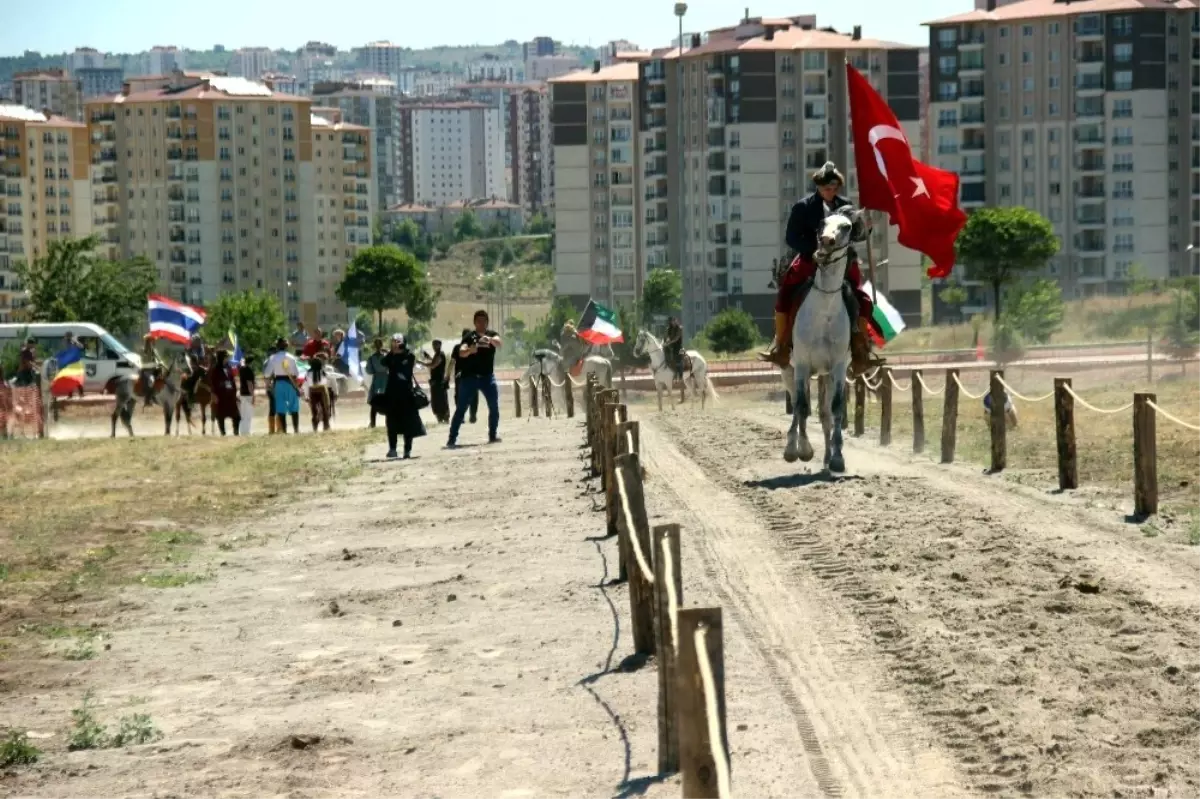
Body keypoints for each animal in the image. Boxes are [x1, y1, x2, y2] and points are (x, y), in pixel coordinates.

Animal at [782, 205, 868, 472]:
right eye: (822, 223)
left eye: (847, 227)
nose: (826, 242)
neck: (824, 310)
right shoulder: (801, 365)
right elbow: (801, 406)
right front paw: (798, 450)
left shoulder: (839, 367)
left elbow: (837, 408)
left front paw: (838, 458)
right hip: (789, 370)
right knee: (798, 404)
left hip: (826, 375)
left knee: (826, 414)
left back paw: (828, 456)